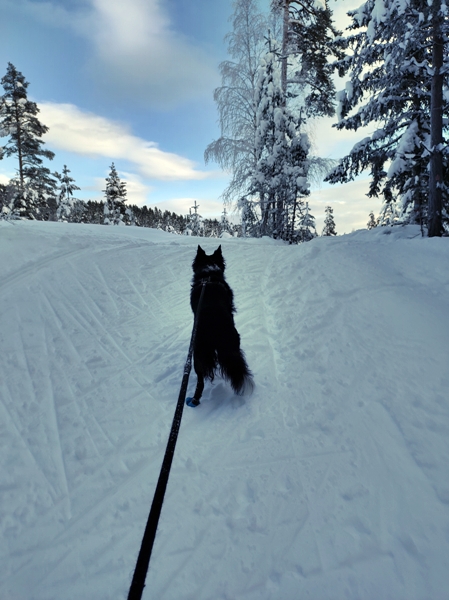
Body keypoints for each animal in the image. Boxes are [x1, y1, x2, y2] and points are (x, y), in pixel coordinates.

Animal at [186, 245, 252, 408]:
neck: (208, 275)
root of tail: (212, 325)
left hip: (198, 354)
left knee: (200, 381)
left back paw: (195, 400)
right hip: (232, 345)